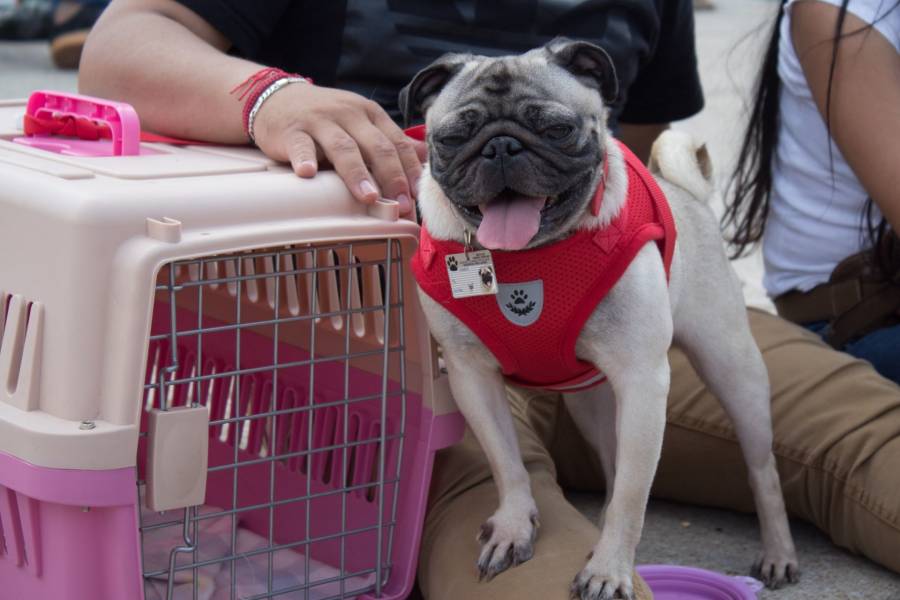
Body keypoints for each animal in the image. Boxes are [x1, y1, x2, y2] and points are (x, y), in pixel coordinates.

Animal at [400, 39, 800, 596]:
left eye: (557, 130)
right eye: (453, 138)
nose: (500, 147)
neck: (529, 256)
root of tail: (689, 194)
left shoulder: (642, 381)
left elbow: (634, 494)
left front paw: (610, 569)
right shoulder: (470, 377)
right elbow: (508, 462)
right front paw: (513, 526)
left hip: (732, 369)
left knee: (761, 469)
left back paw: (779, 552)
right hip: (592, 401)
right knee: (612, 465)